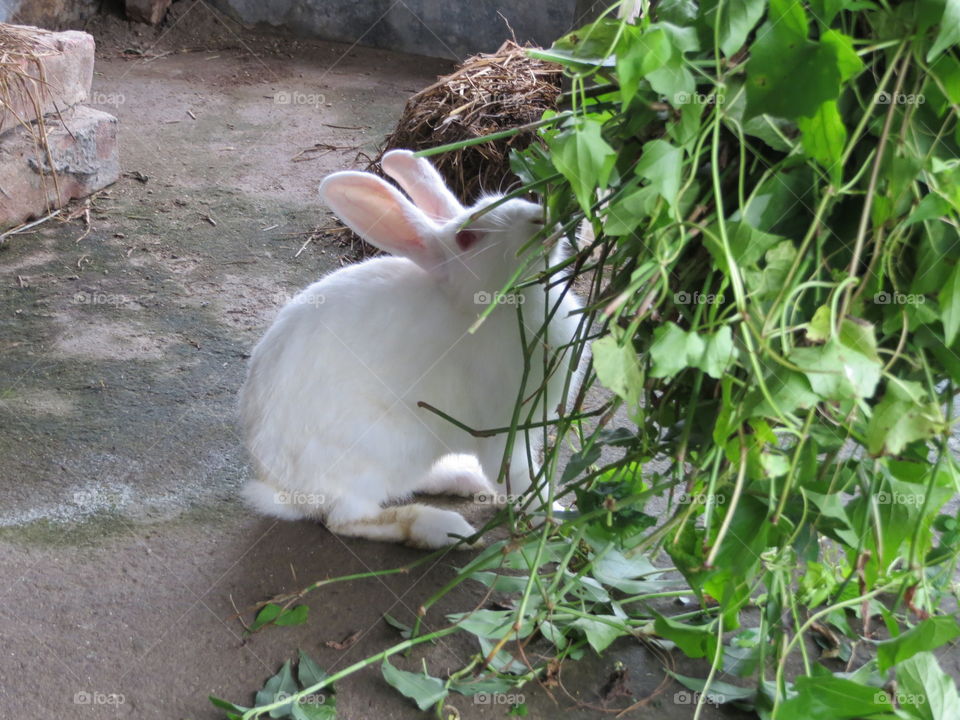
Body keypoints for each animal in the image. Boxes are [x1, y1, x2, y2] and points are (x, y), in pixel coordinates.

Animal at [238, 149, 586, 549]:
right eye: (468, 237)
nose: (541, 217)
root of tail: (285, 490)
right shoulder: (505, 428)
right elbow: (521, 478)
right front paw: (558, 516)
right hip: (382, 451)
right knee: (348, 518)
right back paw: (444, 529)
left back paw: (461, 478)